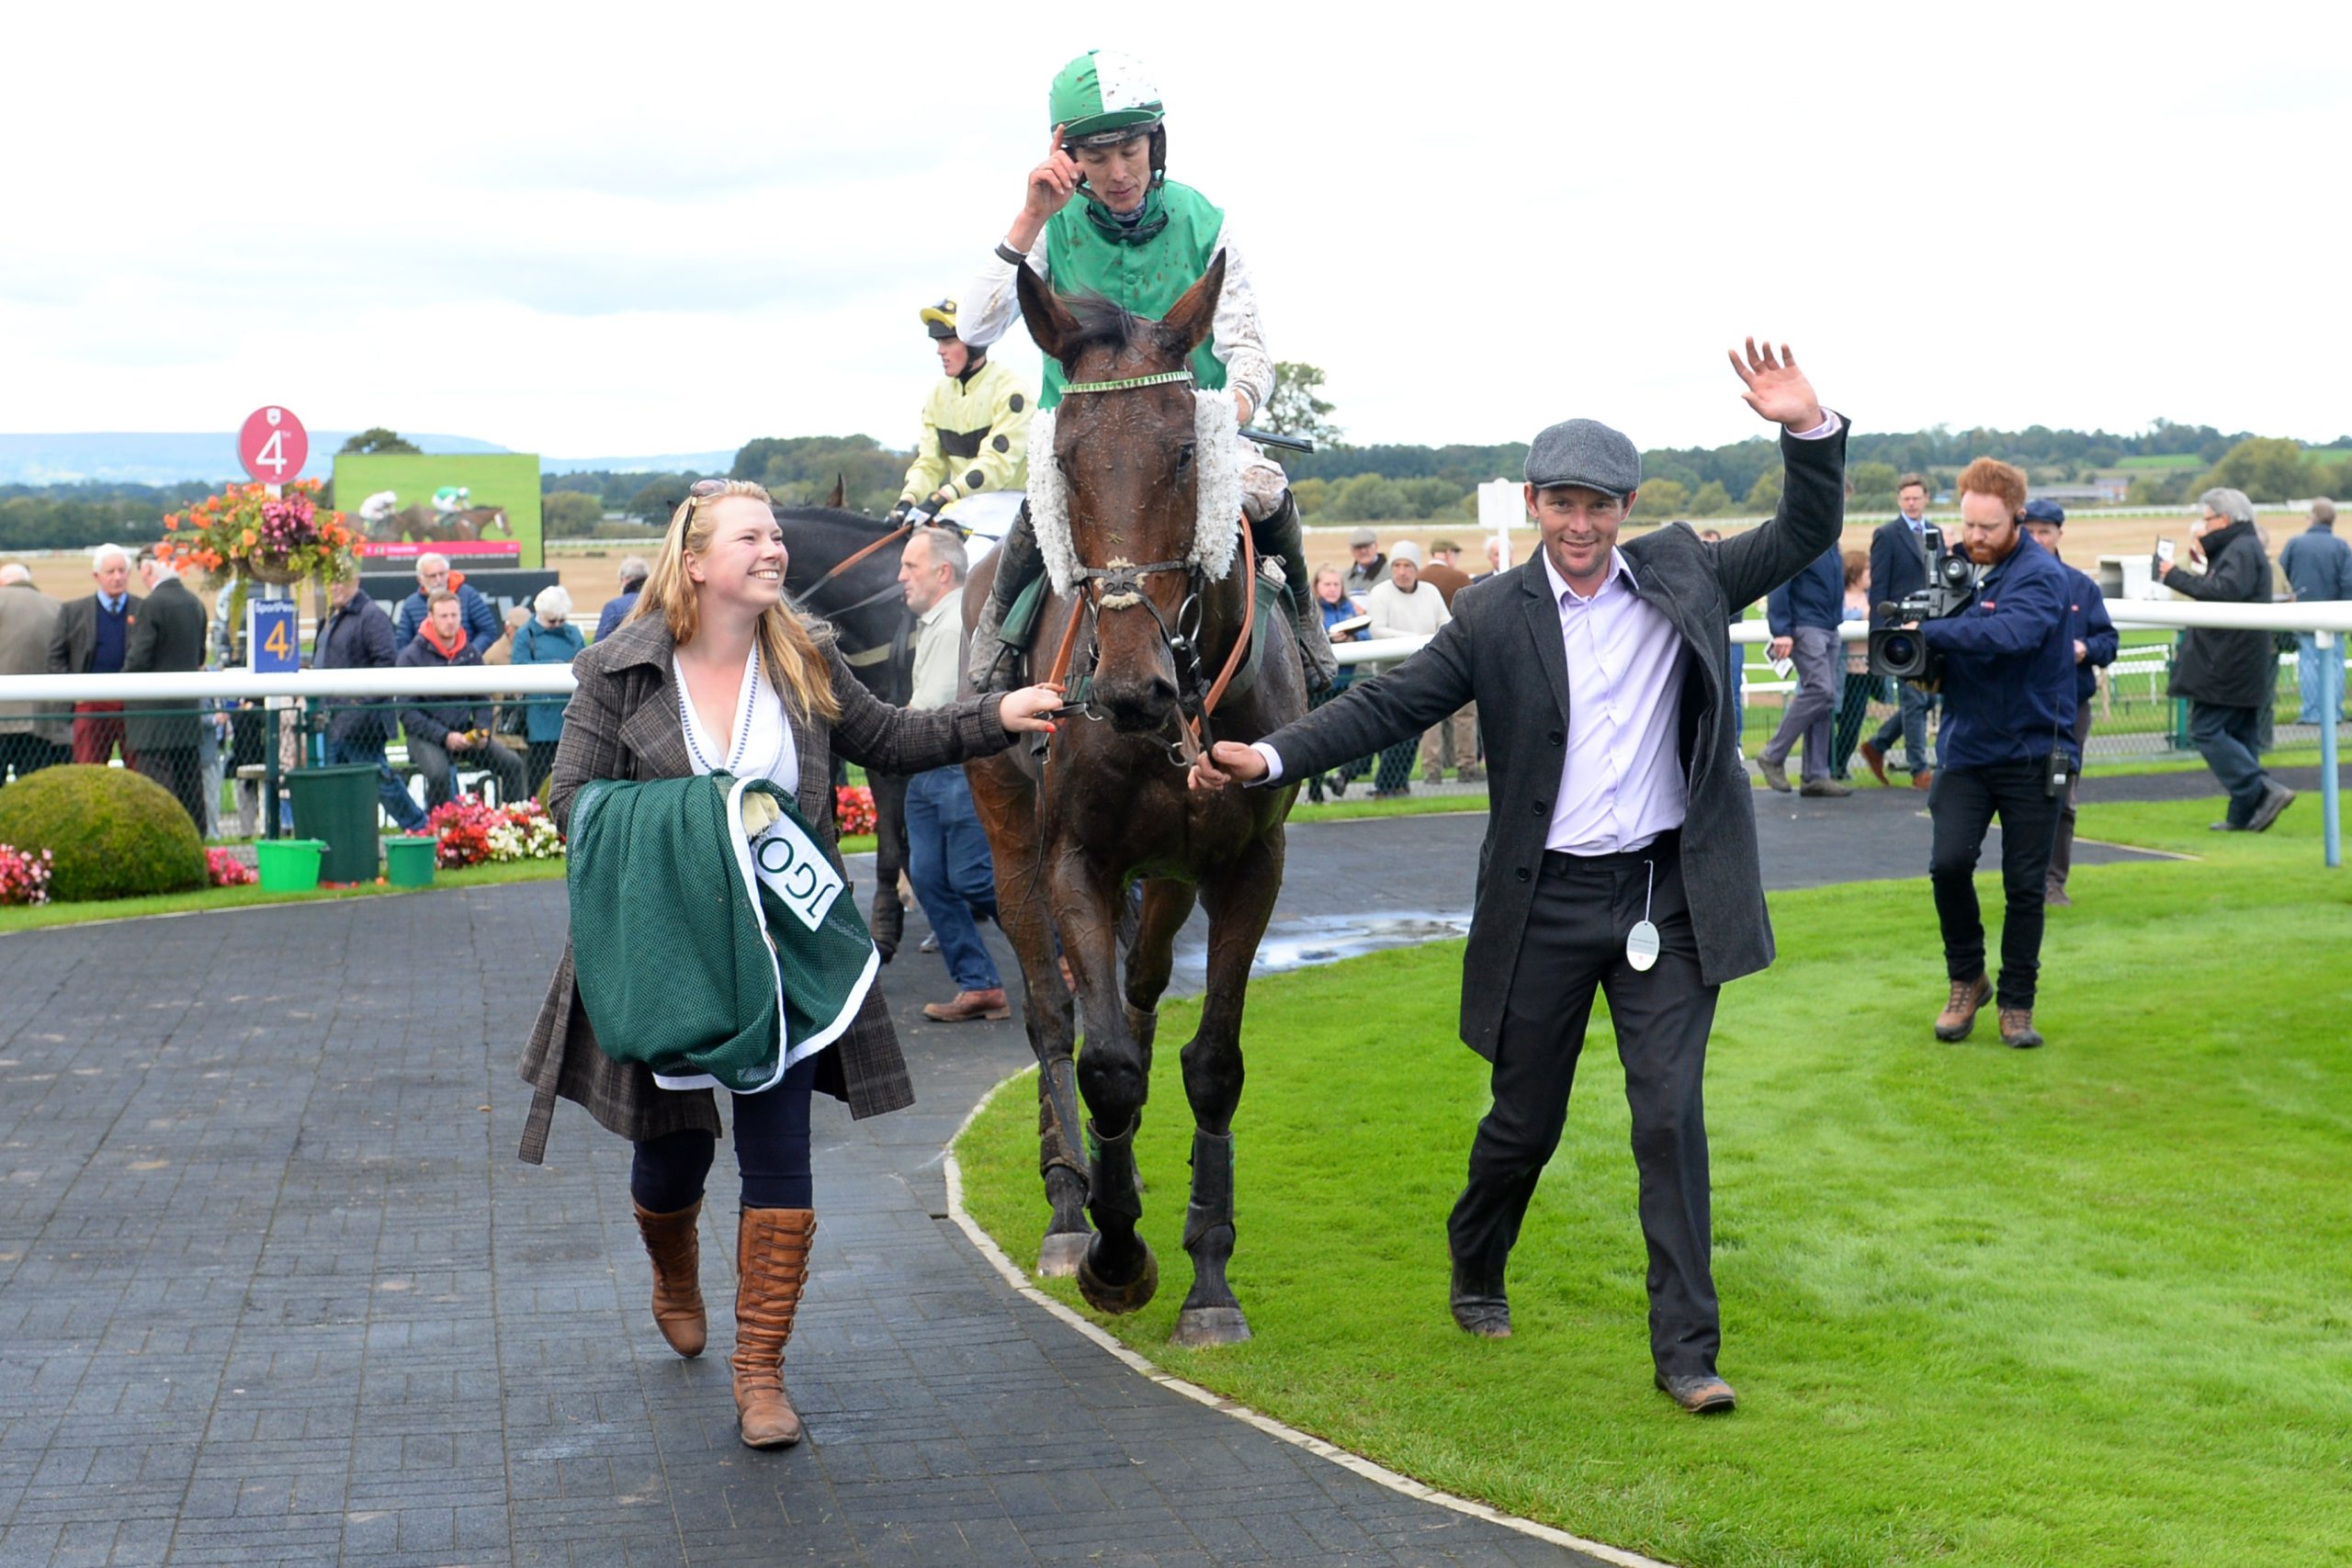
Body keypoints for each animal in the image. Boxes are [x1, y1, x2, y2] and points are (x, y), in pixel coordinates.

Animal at [963, 253, 1306, 1347]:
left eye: (1184, 456)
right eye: (1068, 462)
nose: (1123, 688)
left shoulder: (1247, 864)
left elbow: (1211, 1062)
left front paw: (1208, 1277)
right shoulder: (1075, 856)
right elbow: (1100, 1056)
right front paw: (1115, 1253)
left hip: (1171, 878)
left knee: (1146, 989)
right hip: (1009, 839)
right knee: (1052, 1016)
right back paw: (1073, 1204)